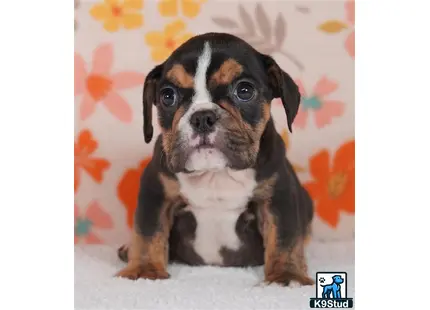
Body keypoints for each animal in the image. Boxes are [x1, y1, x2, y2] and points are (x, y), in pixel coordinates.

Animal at [116, 32, 314, 286]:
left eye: (244, 91)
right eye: (167, 96)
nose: (202, 117)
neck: (215, 174)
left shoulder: (278, 197)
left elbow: (284, 238)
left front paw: (287, 275)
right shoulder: (156, 191)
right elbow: (148, 233)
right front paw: (144, 270)